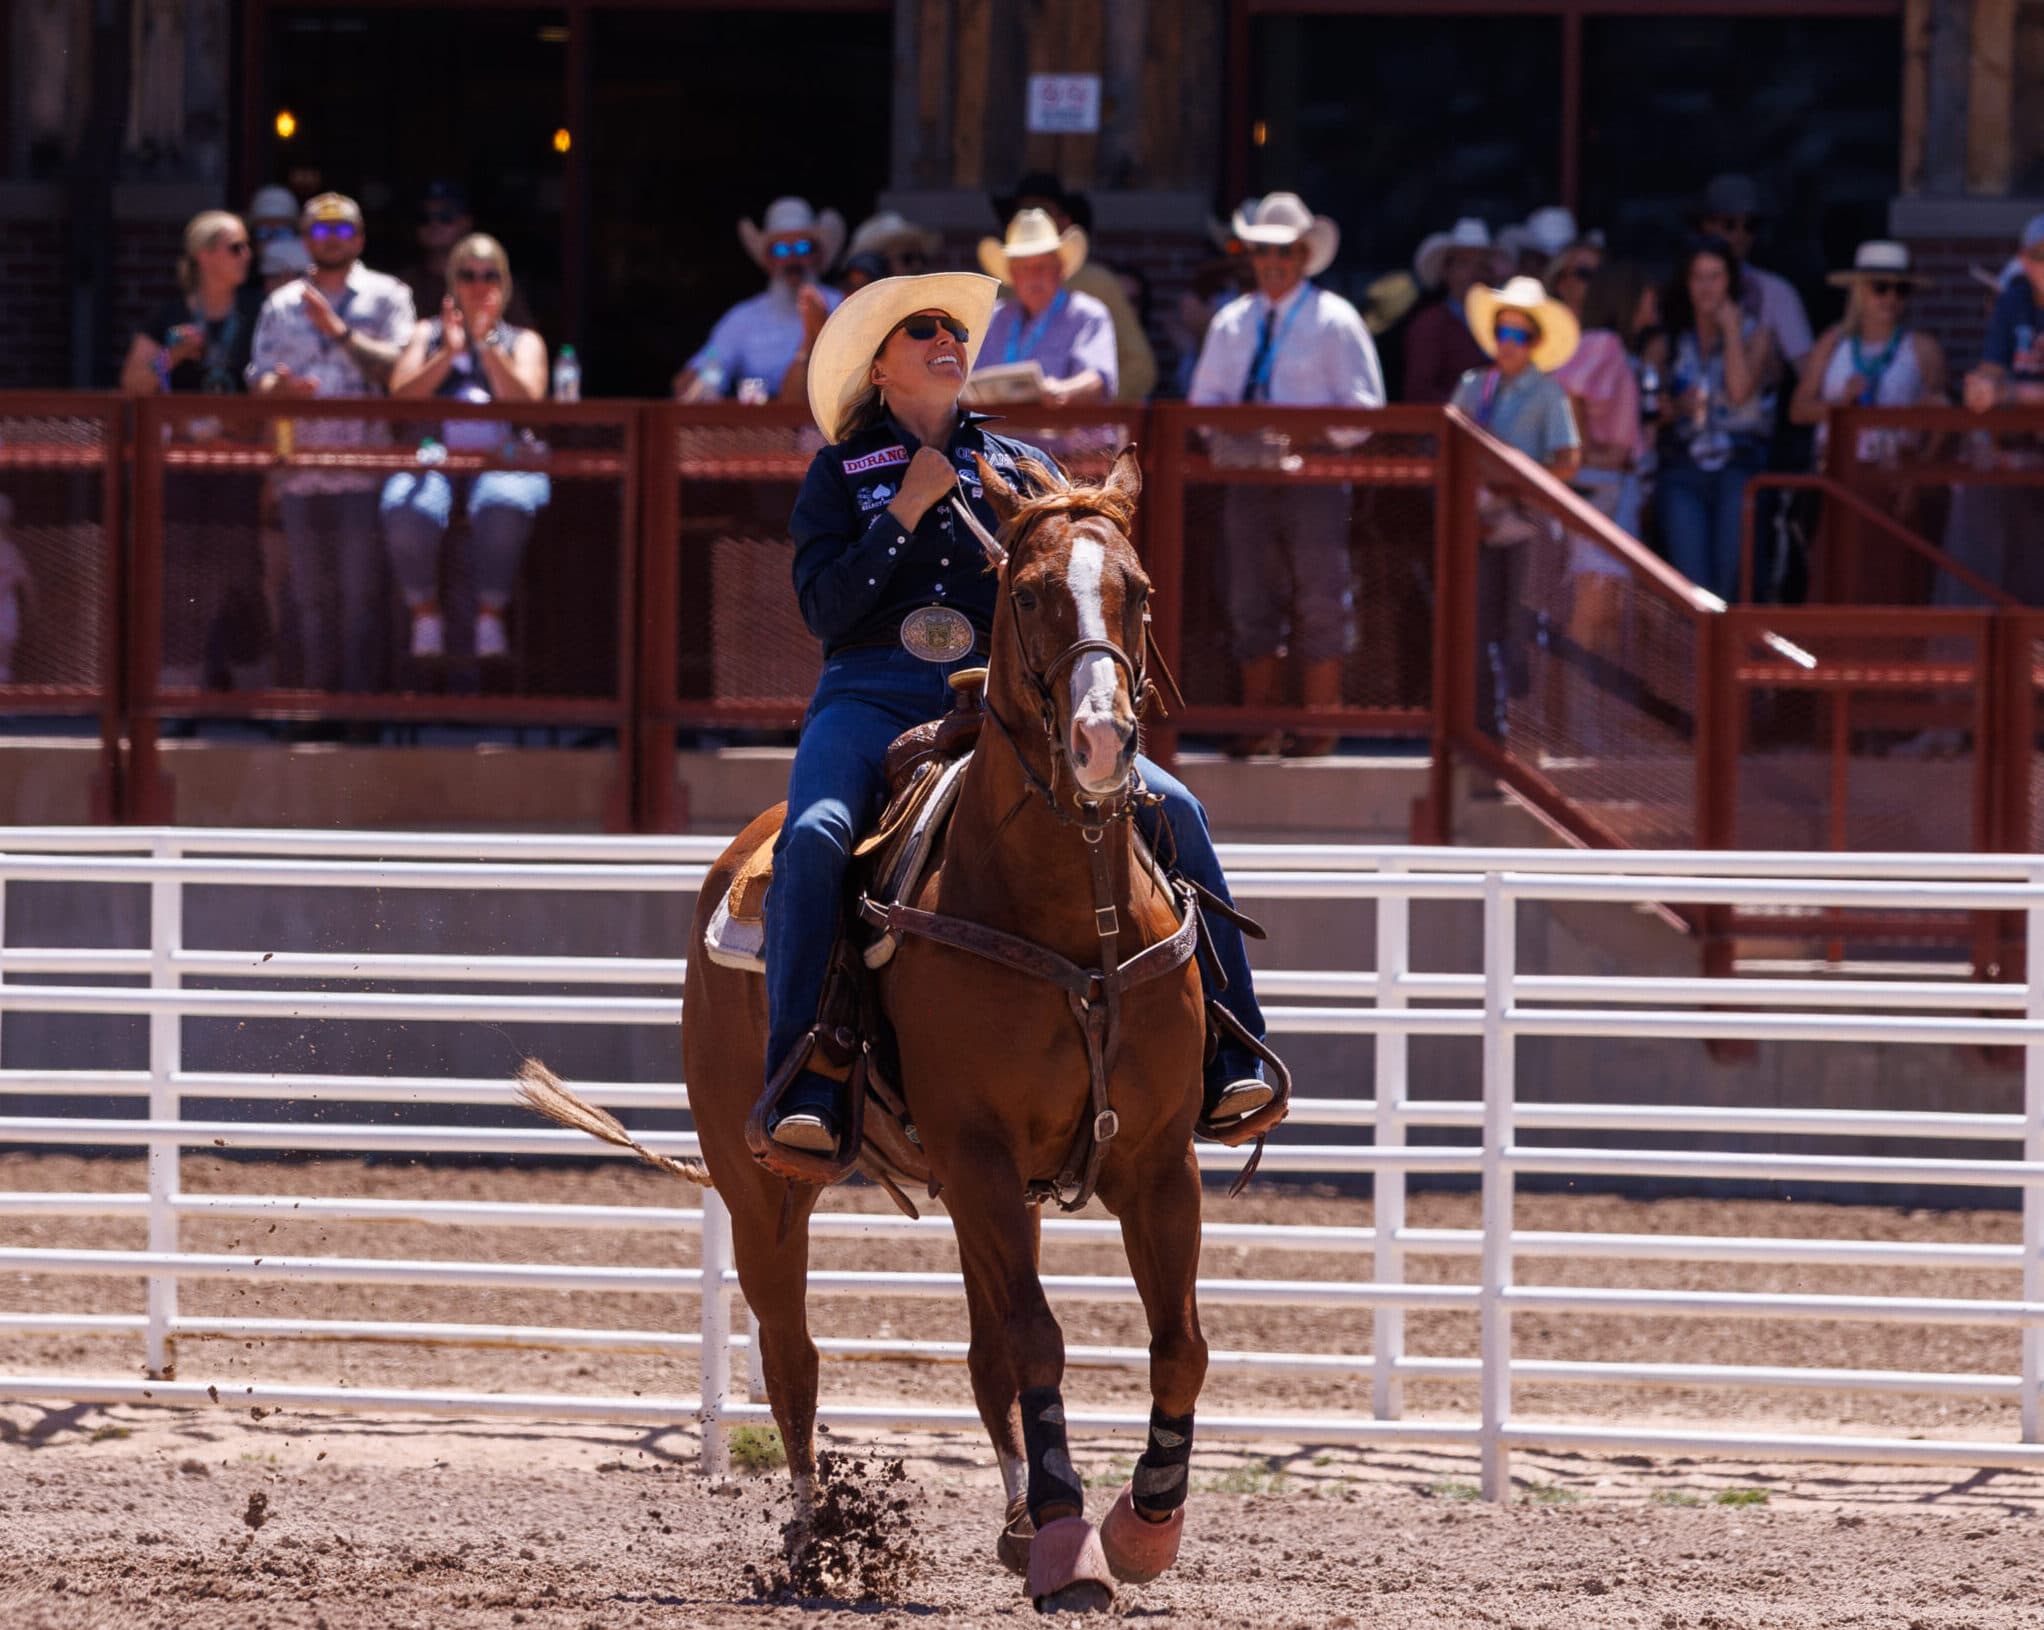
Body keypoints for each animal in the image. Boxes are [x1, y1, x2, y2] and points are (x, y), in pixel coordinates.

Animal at [524, 446, 1218, 1612]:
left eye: (1140, 590)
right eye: (1028, 592)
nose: (1100, 741)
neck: (1065, 912)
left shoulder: (1157, 1159)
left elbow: (1175, 1344)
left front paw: (1138, 1525)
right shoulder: (978, 1150)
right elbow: (1039, 1340)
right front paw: (1072, 1544)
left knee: (981, 1355)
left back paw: (1016, 1519)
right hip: (763, 1185)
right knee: (793, 1355)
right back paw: (814, 1542)